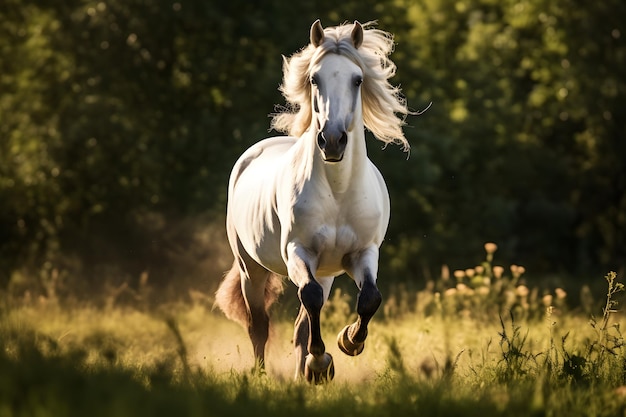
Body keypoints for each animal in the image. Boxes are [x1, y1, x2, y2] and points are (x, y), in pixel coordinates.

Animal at [214, 19, 414, 384]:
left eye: (357, 79)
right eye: (313, 79)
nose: (332, 141)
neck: (338, 191)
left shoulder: (362, 253)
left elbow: (369, 298)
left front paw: (347, 343)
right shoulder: (298, 251)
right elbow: (308, 298)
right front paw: (321, 363)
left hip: (324, 271)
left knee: (302, 323)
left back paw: (302, 374)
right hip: (252, 268)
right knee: (259, 325)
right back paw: (263, 376)